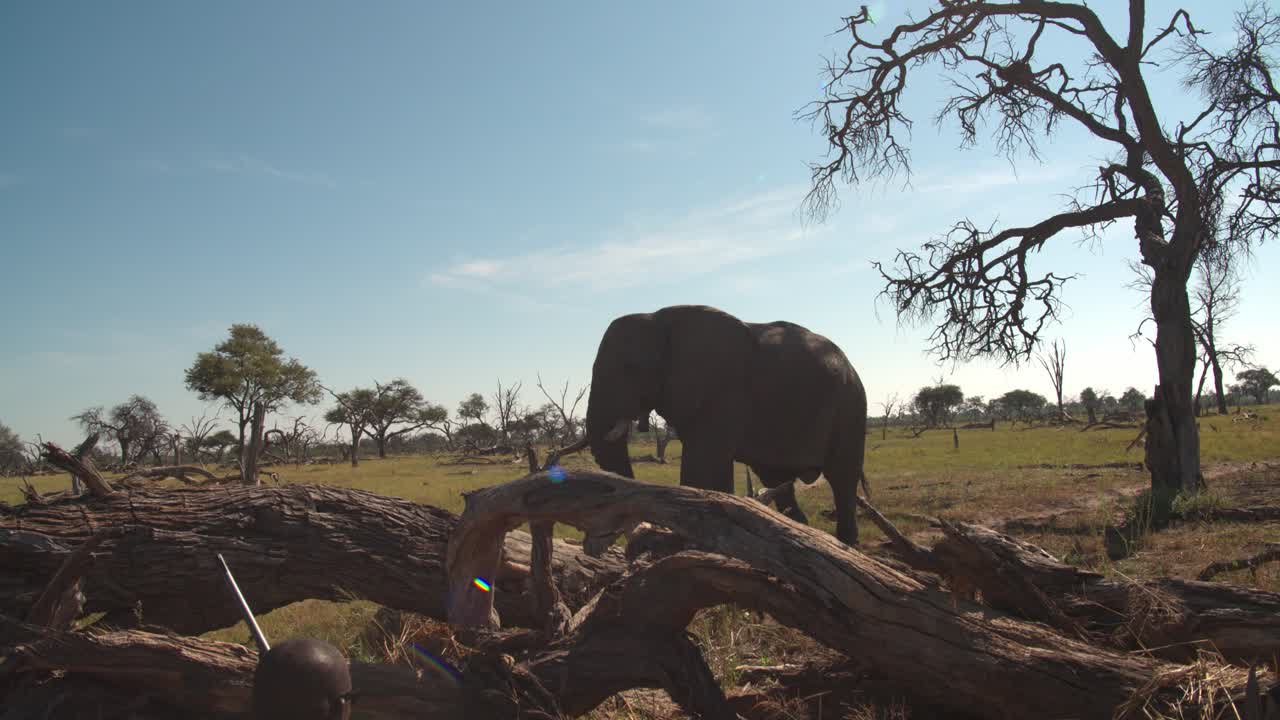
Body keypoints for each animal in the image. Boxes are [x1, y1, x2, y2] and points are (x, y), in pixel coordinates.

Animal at [584, 304, 868, 545]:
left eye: (630, 367)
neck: (657, 318)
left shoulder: (723, 388)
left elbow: (703, 463)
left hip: (850, 407)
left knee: (842, 477)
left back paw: (845, 544)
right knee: (777, 479)